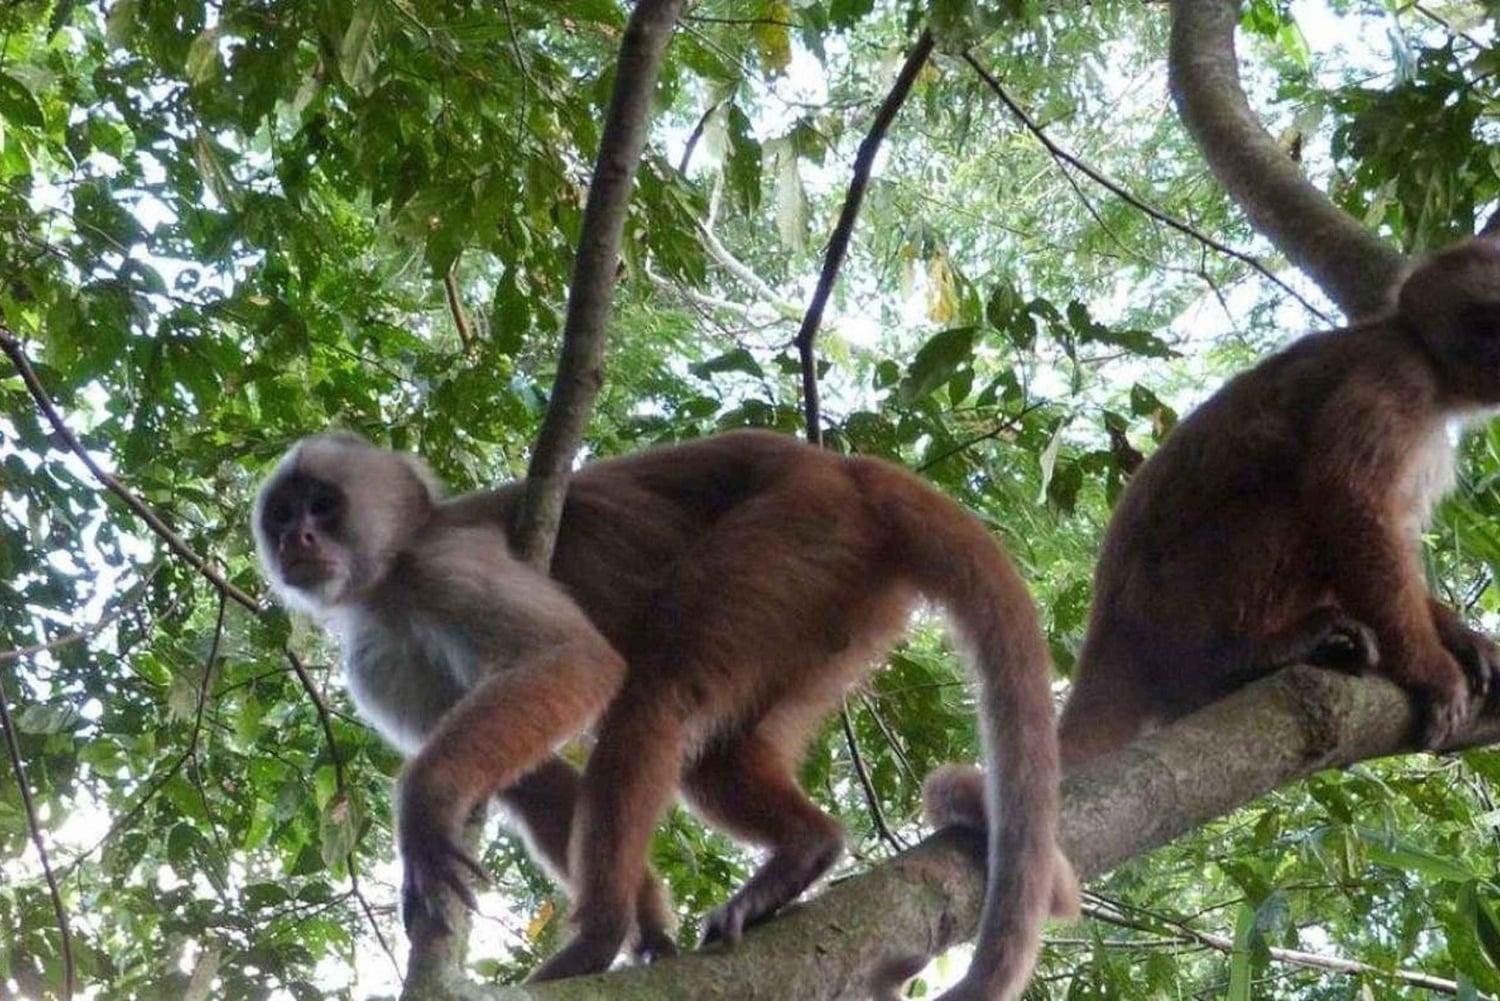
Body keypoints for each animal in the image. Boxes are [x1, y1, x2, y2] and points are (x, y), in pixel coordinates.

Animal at [254, 428, 1077, 998]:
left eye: (323, 505)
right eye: (283, 514)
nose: (298, 538)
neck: (389, 581)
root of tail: (846, 468)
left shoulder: (446, 563)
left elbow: (578, 665)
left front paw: (423, 806)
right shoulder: (376, 657)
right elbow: (536, 780)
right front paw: (650, 920)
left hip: (797, 529)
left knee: (655, 693)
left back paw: (597, 934)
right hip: (834, 600)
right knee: (710, 755)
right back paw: (803, 850)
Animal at [1056, 230, 1500, 769]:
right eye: (1491, 319)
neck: (1434, 371)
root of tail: (1109, 628)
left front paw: (1458, 636)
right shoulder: (1394, 375)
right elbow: (1347, 502)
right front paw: (1431, 669)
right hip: (1172, 606)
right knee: (1295, 497)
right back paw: (1243, 658)